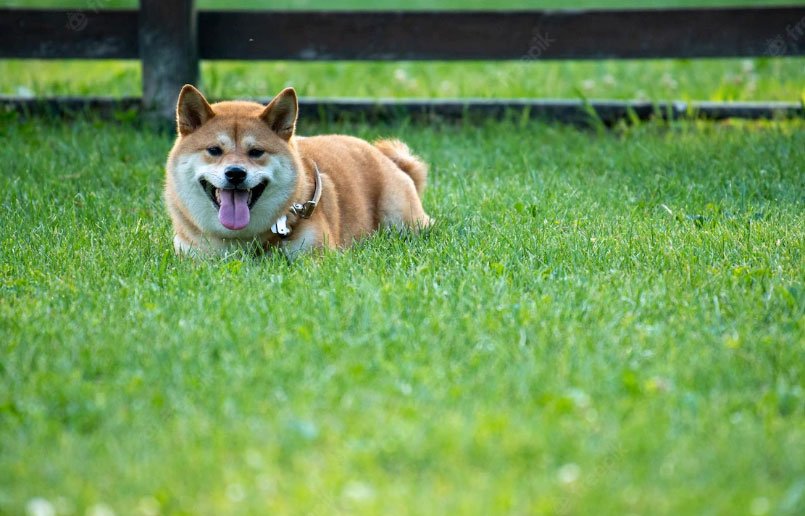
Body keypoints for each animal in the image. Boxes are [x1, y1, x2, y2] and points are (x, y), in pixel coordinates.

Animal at [159, 84, 430, 258]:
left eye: (256, 152)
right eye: (214, 150)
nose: (235, 173)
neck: (241, 241)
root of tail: (386, 157)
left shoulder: (316, 257)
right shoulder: (190, 257)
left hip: (400, 218)